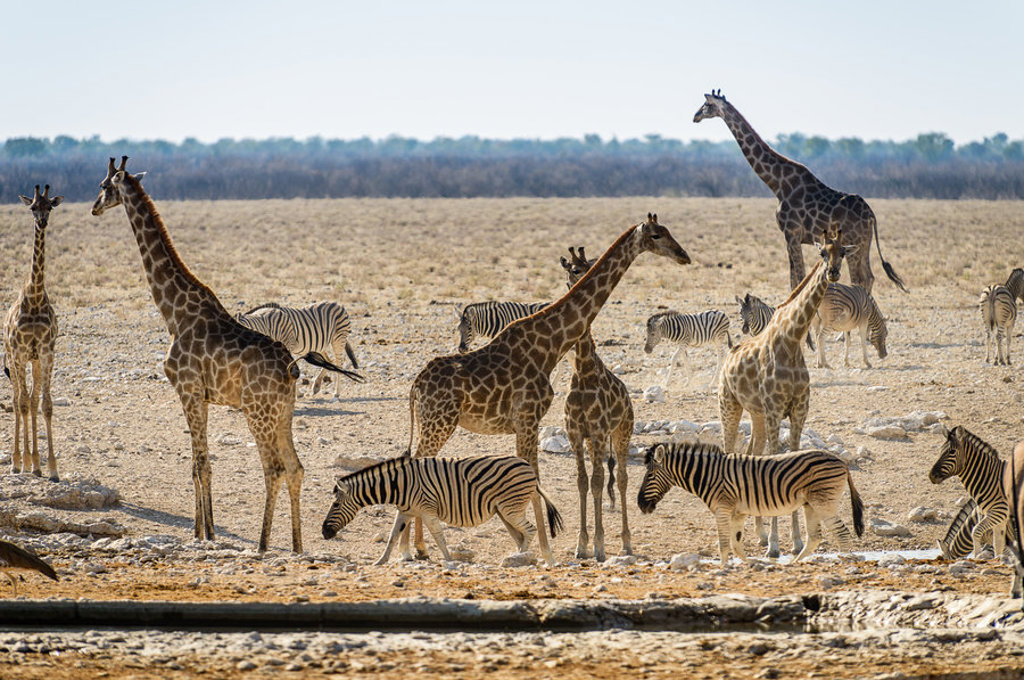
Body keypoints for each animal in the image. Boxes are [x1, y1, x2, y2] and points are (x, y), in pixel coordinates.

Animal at [321, 454, 563, 566]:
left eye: (335, 505)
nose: (324, 532)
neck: (399, 485)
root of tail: (528, 467)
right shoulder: (406, 511)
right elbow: (392, 536)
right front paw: (380, 561)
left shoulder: (427, 509)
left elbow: (438, 536)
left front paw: (448, 560)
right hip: (503, 510)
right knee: (521, 535)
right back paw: (516, 557)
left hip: (510, 508)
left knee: (530, 530)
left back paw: (518, 557)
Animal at [637, 442, 863, 563]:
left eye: (649, 475)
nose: (640, 505)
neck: (708, 475)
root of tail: (841, 461)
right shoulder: (738, 512)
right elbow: (736, 544)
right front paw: (750, 565)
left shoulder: (723, 509)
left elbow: (723, 543)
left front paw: (722, 569)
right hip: (811, 504)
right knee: (815, 538)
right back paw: (794, 564)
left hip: (823, 502)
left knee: (842, 532)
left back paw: (844, 563)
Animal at [929, 425, 1010, 559]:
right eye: (940, 451)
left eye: (952, 452)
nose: (931, 476)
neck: (990, 479)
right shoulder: (999, 521)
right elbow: (998, 546)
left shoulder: (998, 515)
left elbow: (979, 535)